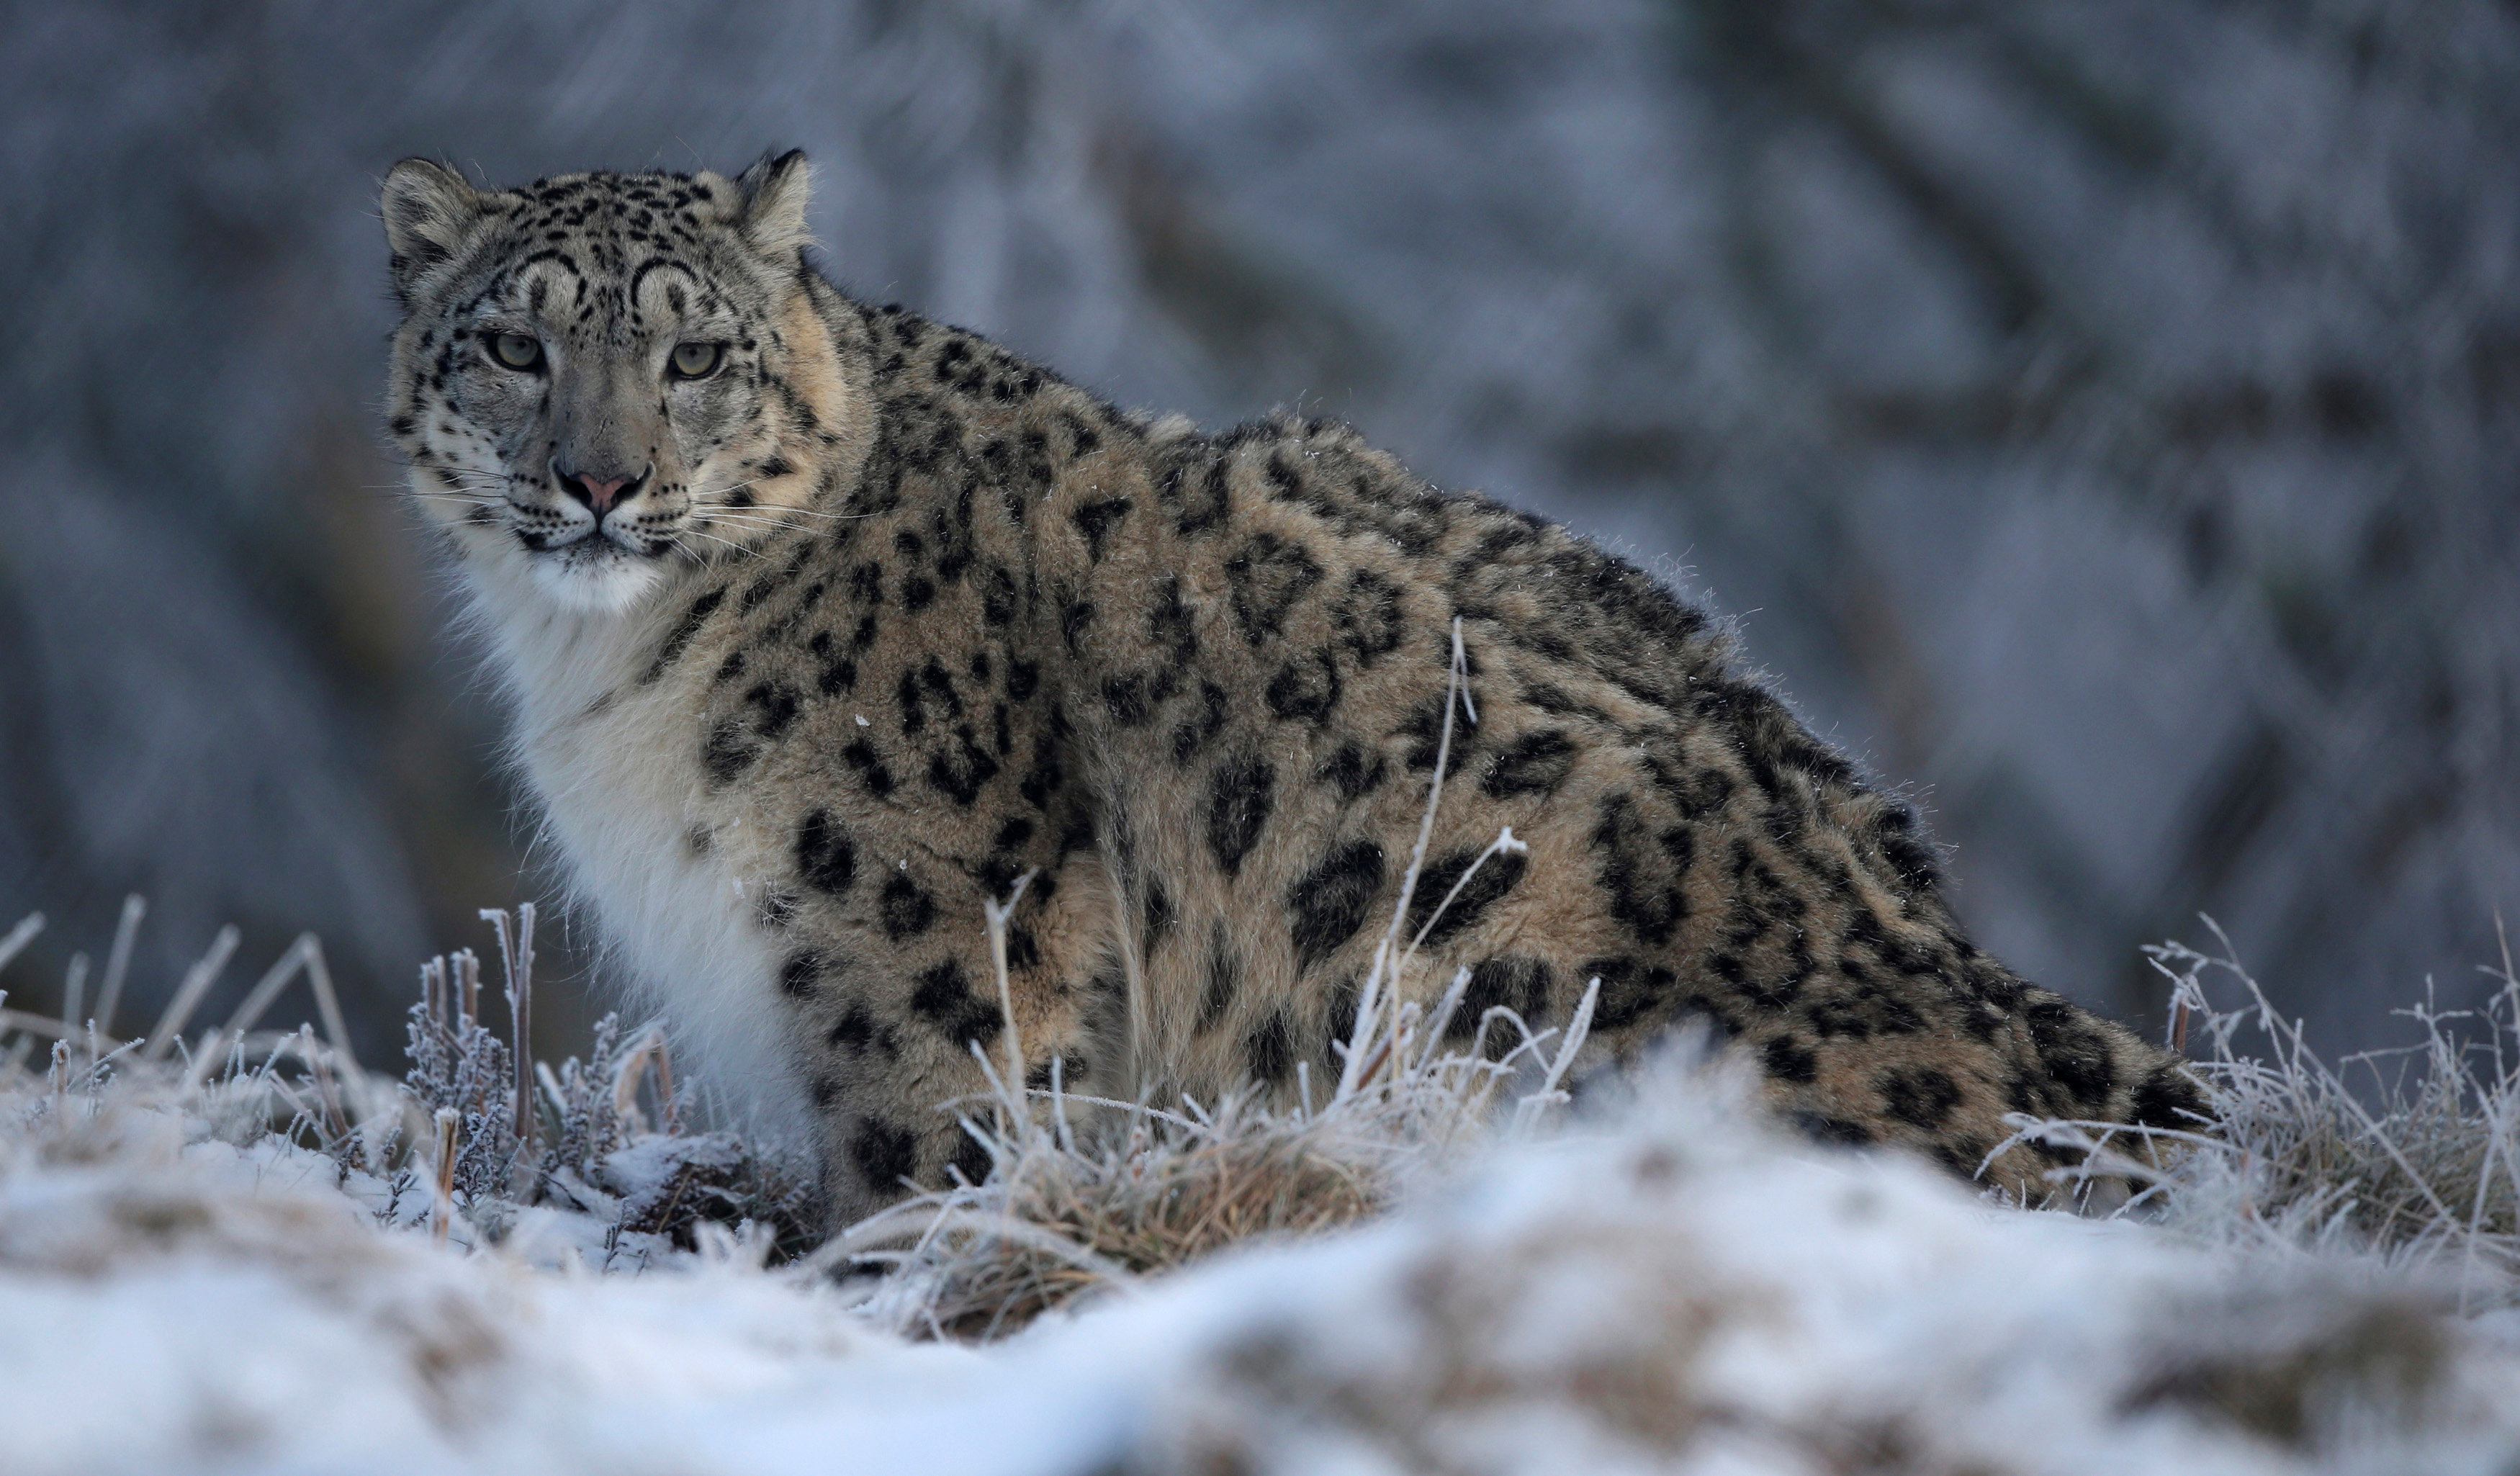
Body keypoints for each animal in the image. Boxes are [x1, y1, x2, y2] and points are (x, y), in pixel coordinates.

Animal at [378, 152, 2208, 1219]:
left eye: (694, 353)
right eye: (515, 344)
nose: (600, 481)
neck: (598, 669)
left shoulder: (923, 937)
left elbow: (933, 1153)